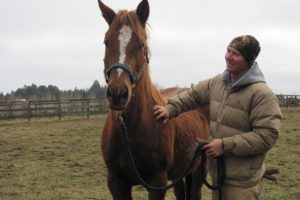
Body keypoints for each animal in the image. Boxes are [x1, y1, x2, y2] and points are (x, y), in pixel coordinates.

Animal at [98, 0, 209, 199]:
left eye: (141, 44)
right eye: (106, 41)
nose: (118, 93)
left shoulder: (157, 182)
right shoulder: (116, 183)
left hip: (199, 168)